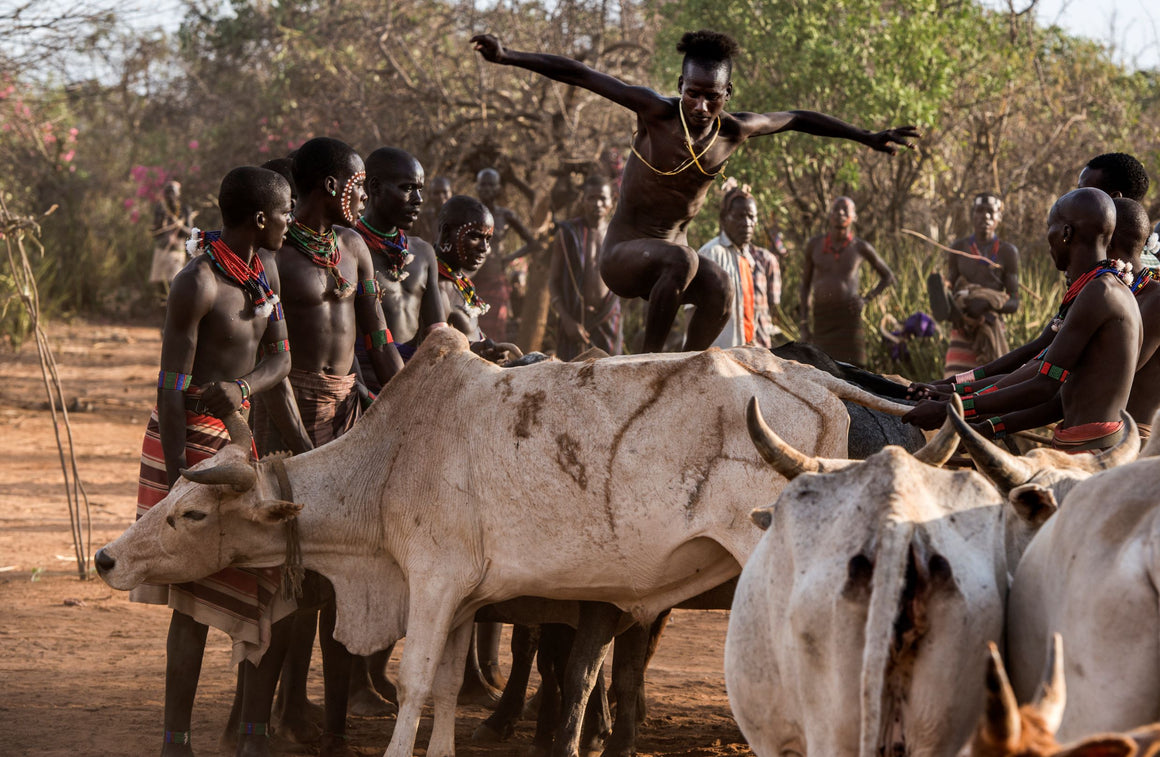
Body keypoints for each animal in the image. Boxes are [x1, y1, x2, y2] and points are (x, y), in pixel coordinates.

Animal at [92, 329, 923, 755]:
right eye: (171, 499)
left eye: (192, 513)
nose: (106, 556)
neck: (387, 459)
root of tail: (813, 380)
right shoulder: (464, 598)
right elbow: (447, 687)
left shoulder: (431, 580)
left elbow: (417, 683)